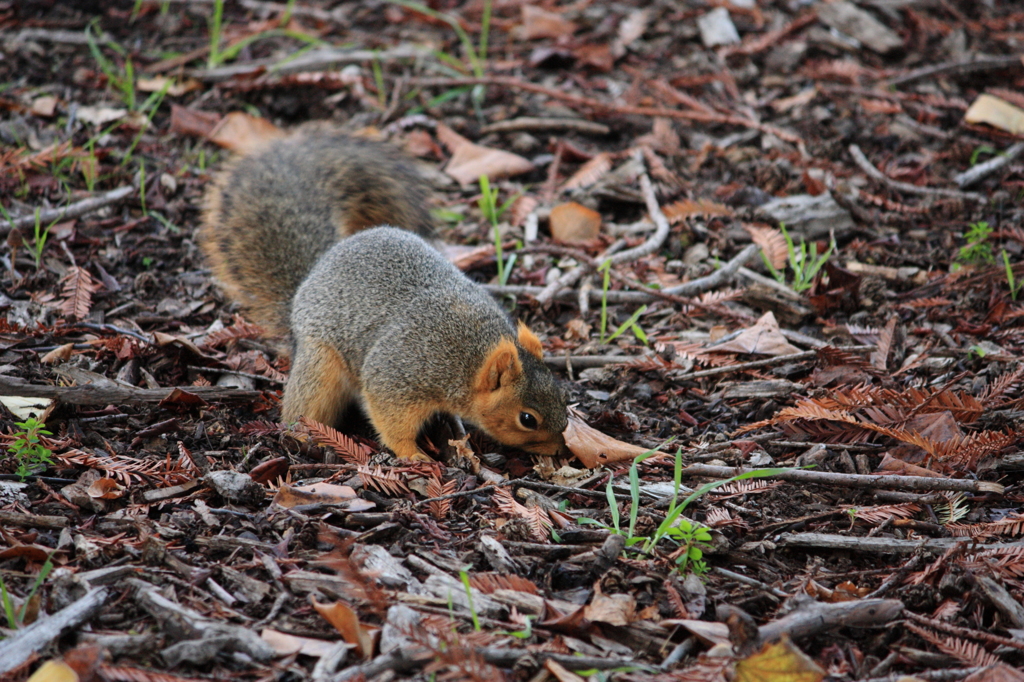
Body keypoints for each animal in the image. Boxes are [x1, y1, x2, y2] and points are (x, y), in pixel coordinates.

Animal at [199, 124, 569, 458]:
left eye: (563, 396)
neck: (471, 356)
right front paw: (414, 455)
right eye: (527, 419)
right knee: (302, 408)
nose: (561, 449)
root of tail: (310, 278)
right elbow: (390, 417)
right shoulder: (400, 373)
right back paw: (306, 436)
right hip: (321, 366)